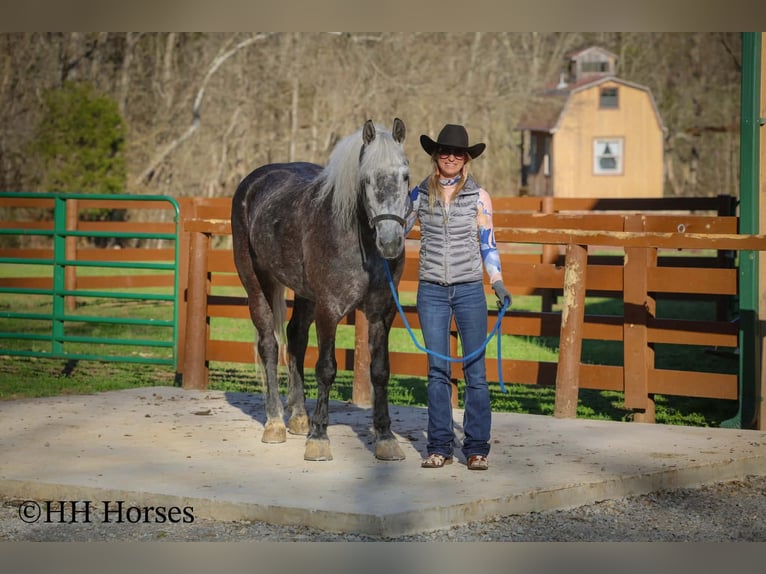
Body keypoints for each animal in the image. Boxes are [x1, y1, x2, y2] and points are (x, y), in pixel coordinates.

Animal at [231, 118, 410, 462]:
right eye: (366, 179)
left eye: (405, 176)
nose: (391, 241)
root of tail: (253, 182)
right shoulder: (330, 309)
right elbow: (326, 369)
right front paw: (319, 439)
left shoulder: (382, 314)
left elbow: (380, 371)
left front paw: (385, 438)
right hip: (257, 283)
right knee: (270, 345)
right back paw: (275, 423)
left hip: (305, 295)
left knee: (296, 339)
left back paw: (299, 417)